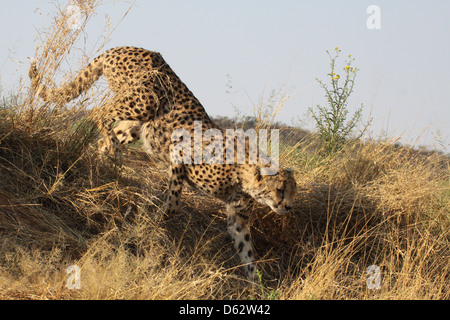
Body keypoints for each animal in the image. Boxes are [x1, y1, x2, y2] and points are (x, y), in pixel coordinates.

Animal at [28, 46, 296, 278]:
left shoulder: (238, 217)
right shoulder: (179, 151)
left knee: (106, 136)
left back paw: (106, 160)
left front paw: (255, 284)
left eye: (292, 191)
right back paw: (112, 151)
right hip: (146, 100)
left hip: (140, 123)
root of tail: (126, 47)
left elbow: (247, 251)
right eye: (280, 189)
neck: (244, 177)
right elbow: (174, 202)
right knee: (99, 113)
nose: (288, 207)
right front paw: (156, 218)